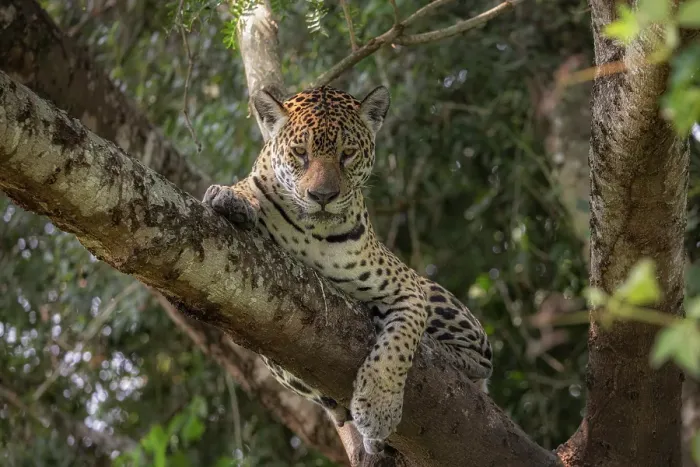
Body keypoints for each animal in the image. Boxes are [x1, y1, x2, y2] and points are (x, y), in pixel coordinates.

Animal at [202, 85, 493, 454]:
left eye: (348, 154)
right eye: (300, 153)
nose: (322, 196)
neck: (312, 230)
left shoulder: (407, 287)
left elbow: (397, 345)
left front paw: (379, 407)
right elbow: (244, 189)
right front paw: (231, 199)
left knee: (482, 359)